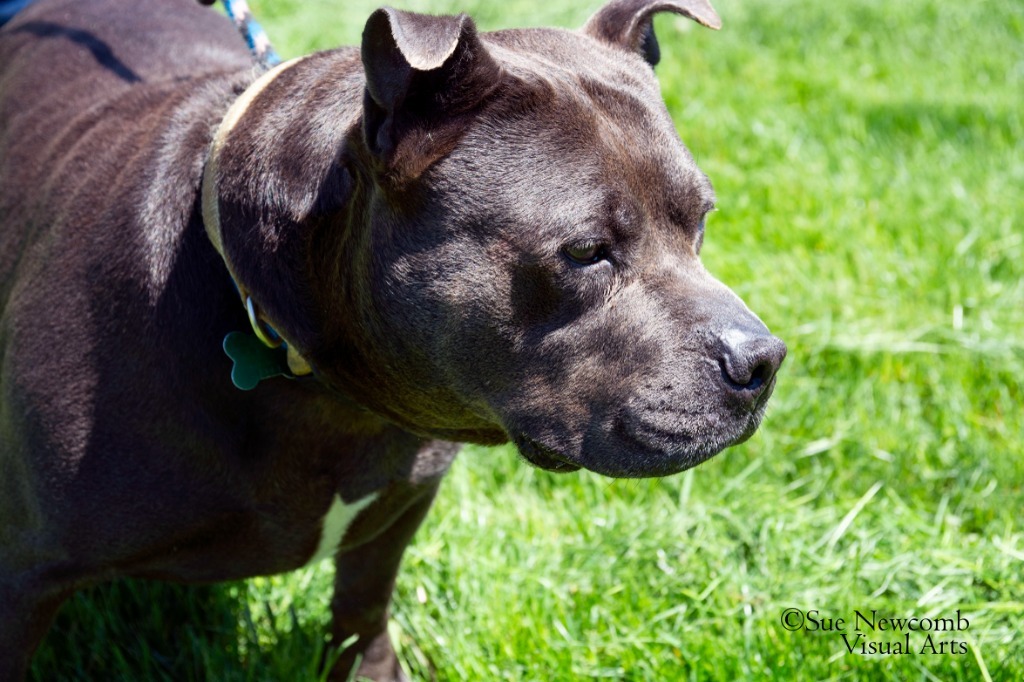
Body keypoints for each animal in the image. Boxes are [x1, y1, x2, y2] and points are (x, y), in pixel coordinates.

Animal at [0, 0, 782, 675]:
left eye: (702, 220)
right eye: (587, 252)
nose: (762, 361)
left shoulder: (399, 509)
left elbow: (364, 605)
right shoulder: (23, 575)